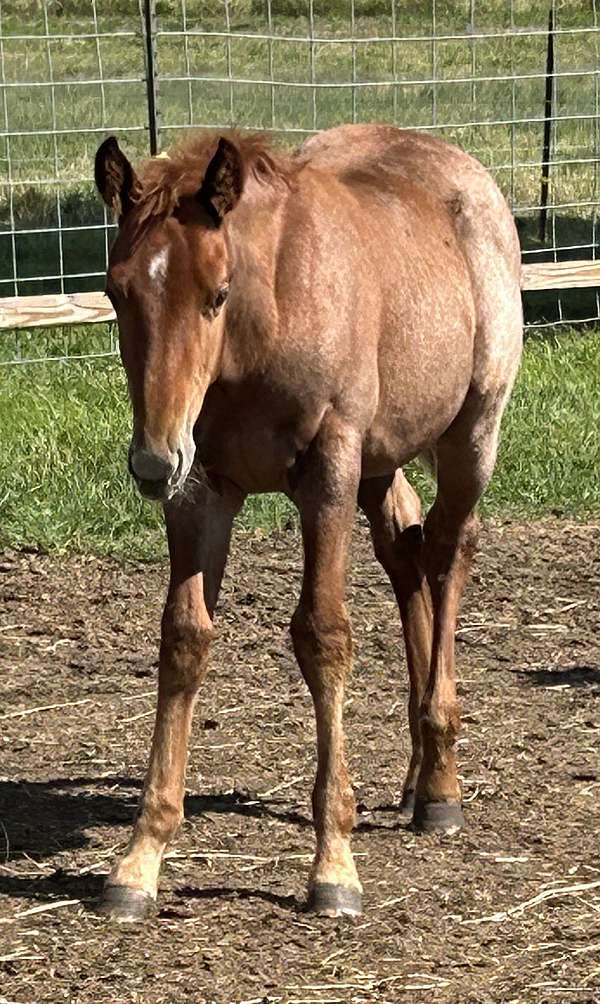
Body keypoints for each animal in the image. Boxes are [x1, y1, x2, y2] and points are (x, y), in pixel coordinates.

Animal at [94, 123, 522, 922]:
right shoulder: (203, 488)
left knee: (449, 553)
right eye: (115, 293)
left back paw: (441, 780)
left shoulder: (328, 470)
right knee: (407, 551)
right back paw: (416, 775)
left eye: (217, 294)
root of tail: (466, 171)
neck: (263, 325)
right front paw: (139, 861)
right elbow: (184, 638)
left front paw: (334, 864)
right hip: (382, 458)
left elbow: (323, 637)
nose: (151, 463)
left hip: (471, 433)